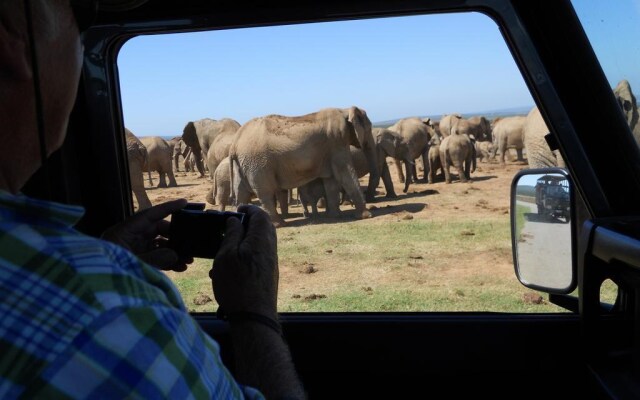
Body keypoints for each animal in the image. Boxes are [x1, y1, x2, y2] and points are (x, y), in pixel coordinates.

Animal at [230, 106, 372, 227]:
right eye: (370, 128)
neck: (344, 110)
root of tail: (235, 143)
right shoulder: (337, 141)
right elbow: (345, 173)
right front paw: (366, 216)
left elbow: (330, 181)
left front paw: (334, 216)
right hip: (258, 163)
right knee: (265, 192)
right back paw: (279, 224)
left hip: (244, 164)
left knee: (241, 193)